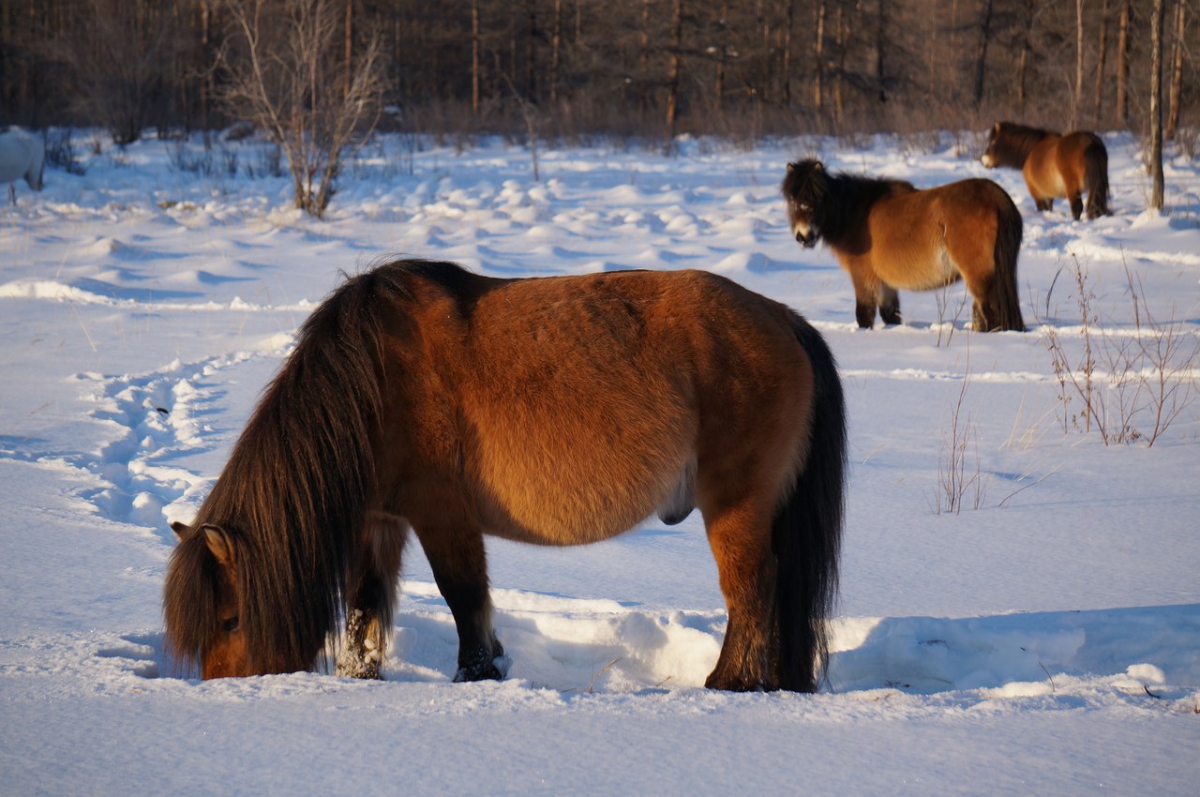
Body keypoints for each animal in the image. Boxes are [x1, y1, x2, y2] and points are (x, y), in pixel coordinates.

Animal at [164, 260, 849, 691]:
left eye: (230, 620)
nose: (221, 689)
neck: (371, 380)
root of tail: (782, 318)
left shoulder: (442, 513)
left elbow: (464, 596)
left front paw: (477, 674)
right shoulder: (379, 519)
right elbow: (364, 604)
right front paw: (359, 677)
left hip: (734, 505)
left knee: (751, 591)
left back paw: (729, 683)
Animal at [782, 158, 1027, 333]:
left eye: (819, 197)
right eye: (792, 199)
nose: (804, 236)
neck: (855, 213)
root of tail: (998, 198)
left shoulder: (863, 276)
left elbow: (864, 315)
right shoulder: (885, 282)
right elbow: (891, 314)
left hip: (978, 275)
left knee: (991, 314)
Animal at [979, 121, 1108, 220]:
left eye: (992, 142)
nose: (984, 160)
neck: (1032, 149)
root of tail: (1091, 141)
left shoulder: (1037, 193)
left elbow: (1042, 208)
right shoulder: (1049, 195)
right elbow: (1049, 208)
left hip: (1073, 189)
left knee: (1077, 208)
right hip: (1093, 189)